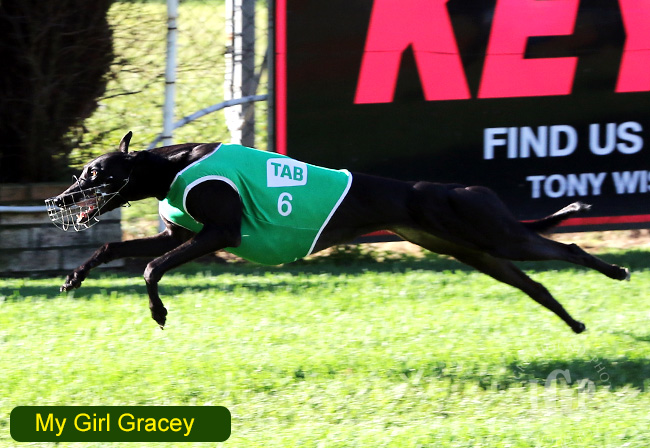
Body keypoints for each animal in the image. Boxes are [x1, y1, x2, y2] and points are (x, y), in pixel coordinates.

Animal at [46, 131, 630, 332]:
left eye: (93, 174)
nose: (59, 199)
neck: (172, 165)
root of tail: (468, 189)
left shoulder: (219, 235)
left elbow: (149, 266)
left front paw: (159, 312)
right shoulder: (178, 235)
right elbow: (114, 245)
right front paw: (73, 277)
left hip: (494, 235)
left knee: (566, 245)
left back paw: (617, 270)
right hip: (476, 252)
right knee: (535, 283)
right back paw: (575, 323)